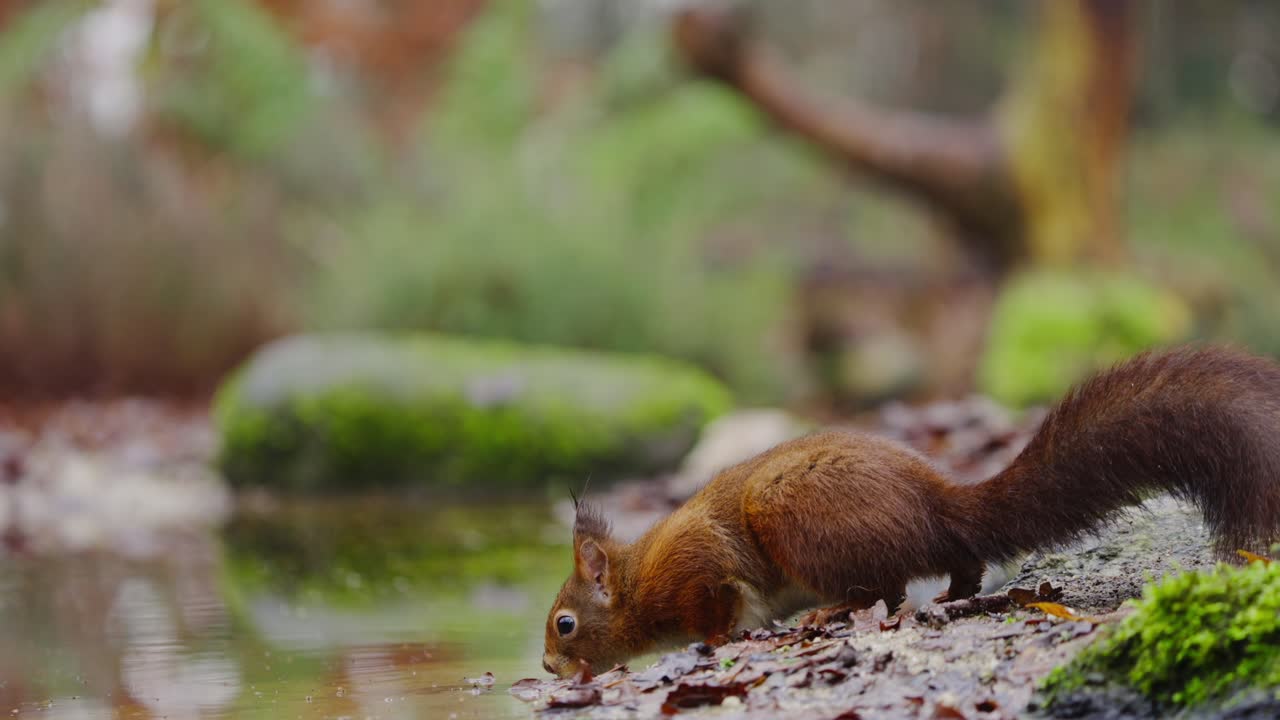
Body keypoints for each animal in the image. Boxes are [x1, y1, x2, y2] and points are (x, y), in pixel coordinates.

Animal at [541, 346, 1280, 677]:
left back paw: (831, 611)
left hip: (790, 512)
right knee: (956, 562)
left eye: (565, 623)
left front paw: (719, 640)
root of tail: (935, 503)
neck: (635, 582)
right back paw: (953, 591)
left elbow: (719, 606)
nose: (547, 668)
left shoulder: (695, 567)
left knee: (888, 587)